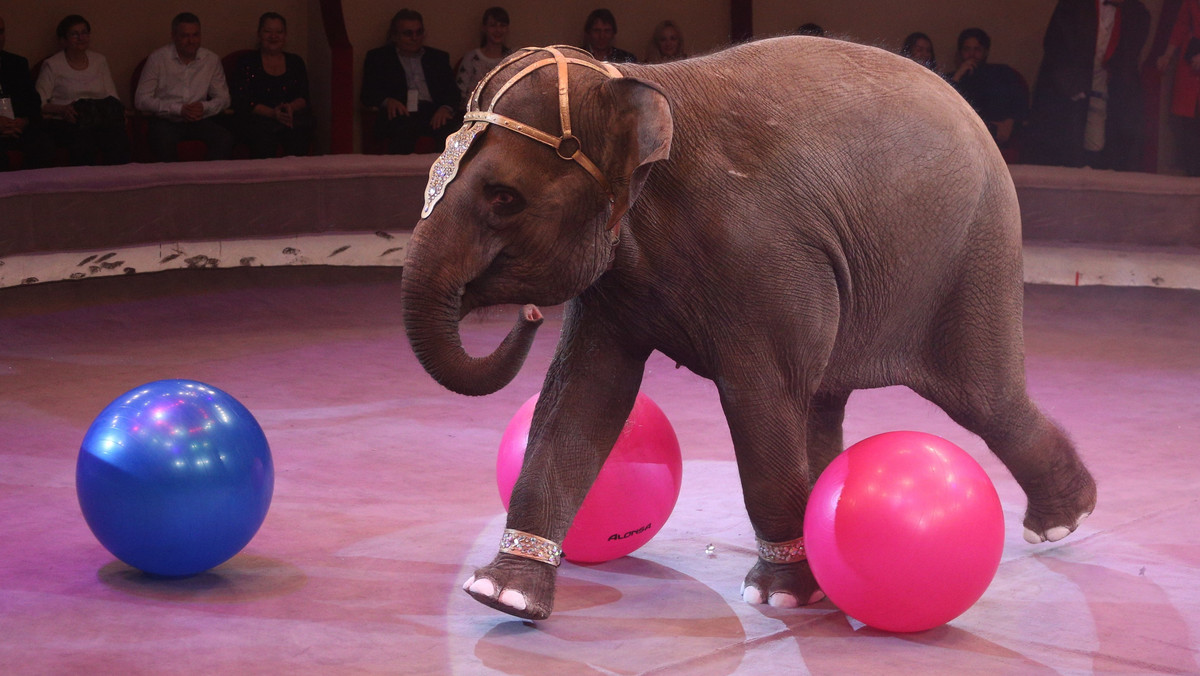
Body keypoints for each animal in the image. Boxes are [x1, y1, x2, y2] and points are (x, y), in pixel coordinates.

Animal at [403, 35, 1099, 619]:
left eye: (503, 198)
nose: (527, 315)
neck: (636, 82)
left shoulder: (762, 258)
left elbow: (758, 399)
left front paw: (779, 597)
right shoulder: (614, 284)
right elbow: (581, 398)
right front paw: (501, 595)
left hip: (974, 255)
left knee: (984, 397)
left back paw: (1062, 522)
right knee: (824, 399)